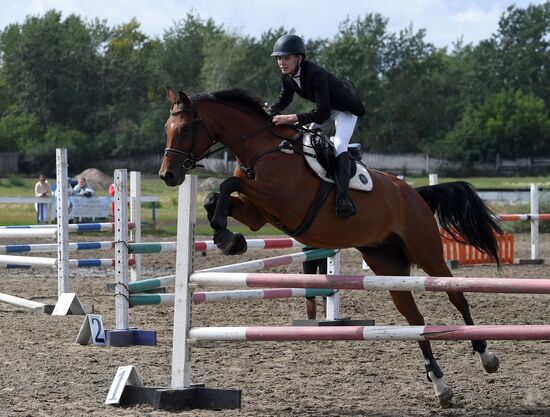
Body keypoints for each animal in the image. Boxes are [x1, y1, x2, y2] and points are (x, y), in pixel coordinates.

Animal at [160, 88, 504, 406]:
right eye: (167, 127)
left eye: (186, 128)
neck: (261, 150)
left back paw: (486, 356)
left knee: (457, 296)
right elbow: (214, 196)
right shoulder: (258, 214)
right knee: (415, 320)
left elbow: (228, 184)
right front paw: (229, 237)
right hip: (387, 265)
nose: (169, 175)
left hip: (427, 252)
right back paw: (440, 385)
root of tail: (415, 194)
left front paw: (226, 235)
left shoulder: (281, 201)